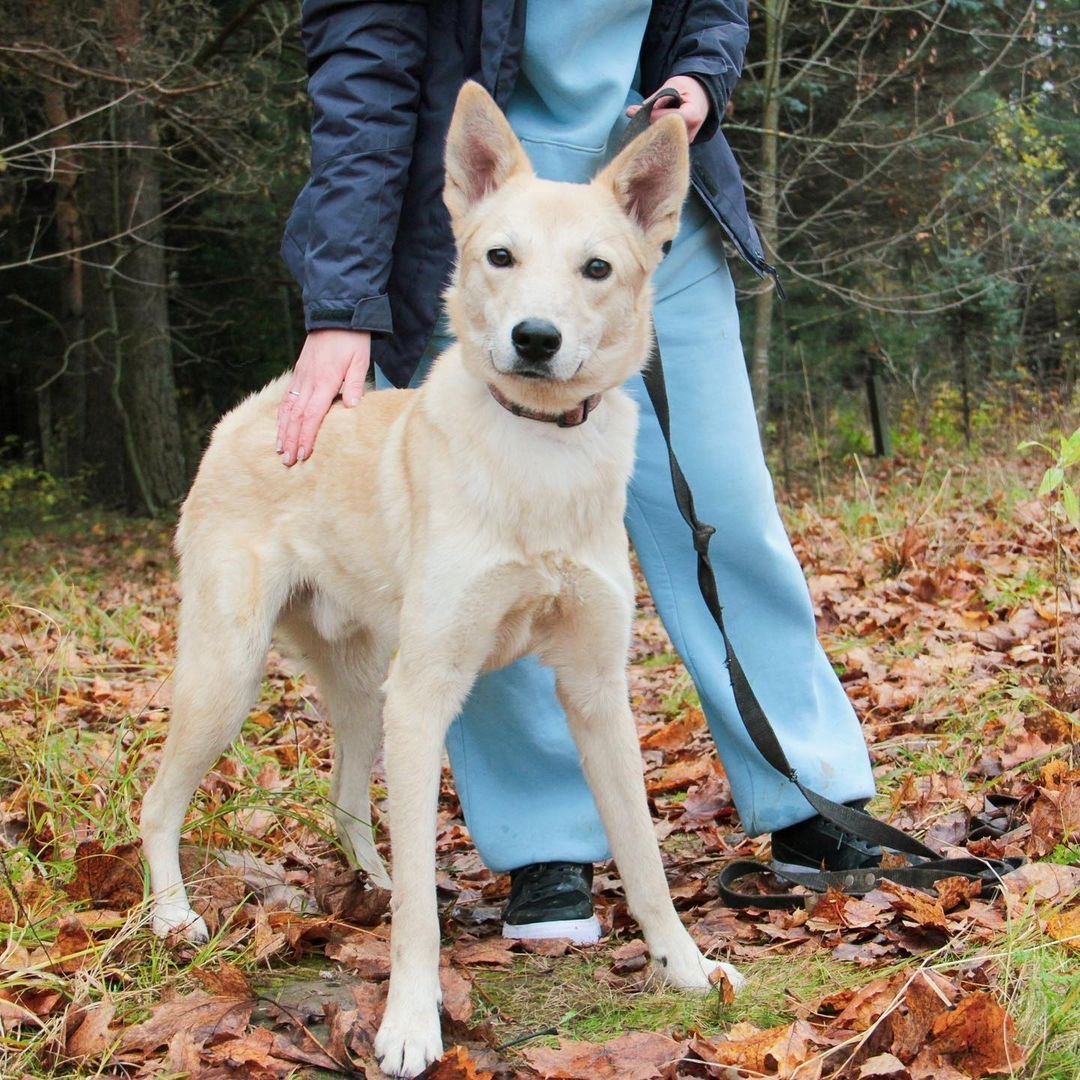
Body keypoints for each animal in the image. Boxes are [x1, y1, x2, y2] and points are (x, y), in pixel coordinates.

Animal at [143, 86, 743, 1080]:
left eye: (596, 268)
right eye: (499, 256)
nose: (534, 339)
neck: (538, 457)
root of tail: (255, 410)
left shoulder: (596, 693)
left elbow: (646, 858)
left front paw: (685, 966)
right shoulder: (427, 696)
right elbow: (423, 917)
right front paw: (410, 1023)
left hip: (361, 693)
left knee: (348, 800)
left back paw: (371, 881)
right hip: (229, 679)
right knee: (160, 802)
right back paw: (173, 916)